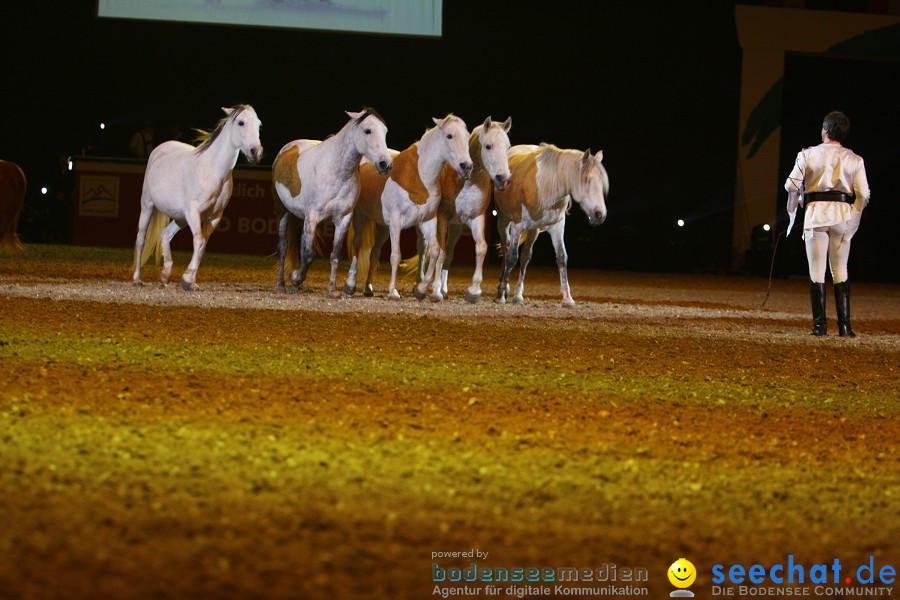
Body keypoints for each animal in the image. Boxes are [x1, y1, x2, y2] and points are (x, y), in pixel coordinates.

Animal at [132, 104, 262, 290]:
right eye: (241, 122)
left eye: (258, 125)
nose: (256, 152)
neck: (214, 171)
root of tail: (159, 149)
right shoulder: (193, 212)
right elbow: (199, 241)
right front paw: (187, 279)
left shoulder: (214, 217)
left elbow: (202, 247)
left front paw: (191, 282)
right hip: (148, 206)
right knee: (141, 239)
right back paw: (137, 278)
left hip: (180, 217)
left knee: (165, 234)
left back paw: (165, 274)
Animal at [270, 109, 390, 298]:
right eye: (367, 130)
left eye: (385, 132)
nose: (385, 164)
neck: (336, 172)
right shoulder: (312, 216)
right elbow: (309, 254)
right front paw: (295, 277)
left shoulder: (343, 219)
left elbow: (334, 254)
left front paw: (332, 289)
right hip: (282, 211)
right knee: (283, 247)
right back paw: (281, 284)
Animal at [342, 113, 474, 300]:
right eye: (449, 135)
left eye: (467, 136)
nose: (466, 166)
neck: (418, 177)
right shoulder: (396, 222)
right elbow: (395, 256)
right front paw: (393, 291)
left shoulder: (427, 221)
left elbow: (435, 251)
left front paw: (423, 289)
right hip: (360, 216)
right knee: (357, 244)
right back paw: (350, 285)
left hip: (384, 226)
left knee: (374, 252)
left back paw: (368, 287)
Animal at [410, 116, 510, 302]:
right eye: (488, 146)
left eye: (507, 147)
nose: (504, 179)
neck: (467, 182)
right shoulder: (442, 218)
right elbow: (440, 252)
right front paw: (434, 291)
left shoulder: (476, 218)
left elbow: (481, 247)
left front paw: (474, 291)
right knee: (423, 248)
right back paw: (420, 284)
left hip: (456, 227)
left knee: (449, 253)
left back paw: (443, 289)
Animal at [492, 143, 612, 308]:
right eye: (587, 179)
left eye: (602, 183)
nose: (600, 214)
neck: (544, 185)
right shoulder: (517, 225)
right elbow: (511, 257)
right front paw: (500, 296)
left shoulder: (557, 227)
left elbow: (561, 257)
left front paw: (567, 298)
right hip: (503, 220)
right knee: (506, 249)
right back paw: (503, 289)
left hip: (533, 230)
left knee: (525, 256)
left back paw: (518, 295)